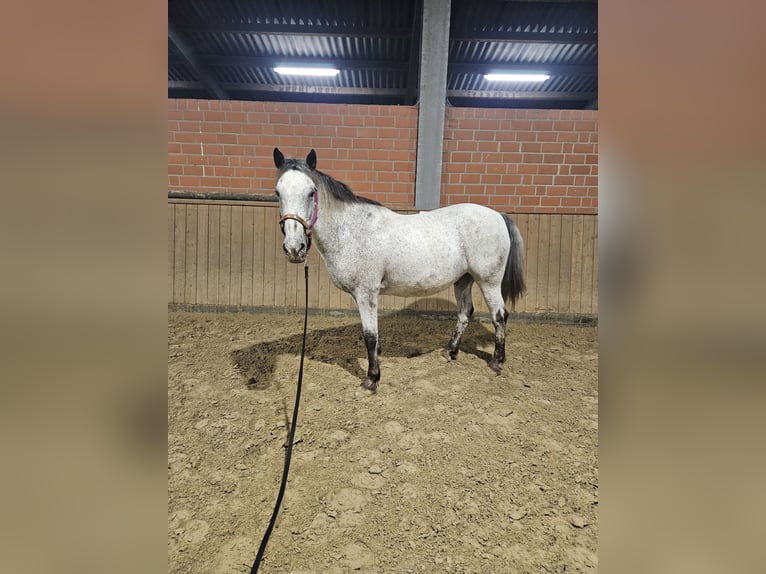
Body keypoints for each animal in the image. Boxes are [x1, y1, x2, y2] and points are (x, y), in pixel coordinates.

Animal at [272, 146, 524, 394]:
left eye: (311, 192)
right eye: (277, 192)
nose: (294, 248)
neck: (350, 230)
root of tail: (497, 215)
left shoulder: (366, 293)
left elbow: (370, 336)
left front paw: (372, 379)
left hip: (489, 281)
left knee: (499, 315)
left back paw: (496, 362)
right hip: (463, 279)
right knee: (465, 313)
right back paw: (449, 352)